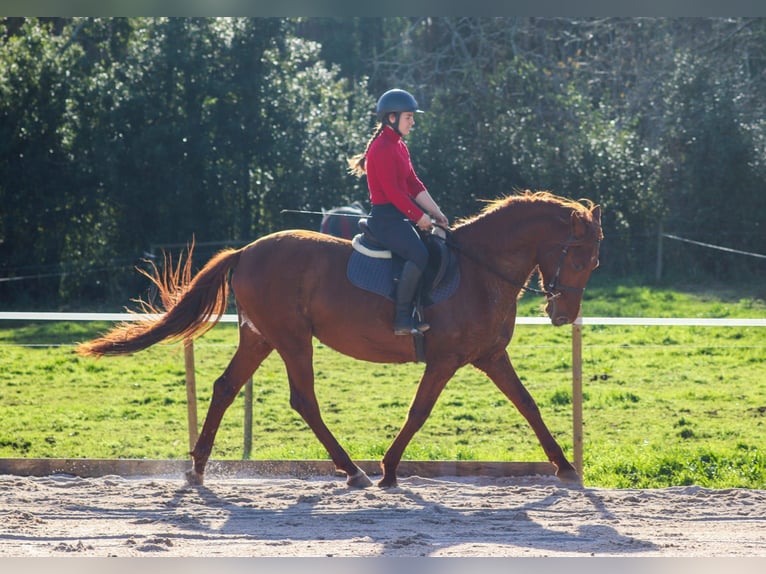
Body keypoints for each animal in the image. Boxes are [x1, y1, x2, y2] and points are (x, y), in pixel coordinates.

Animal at [78, 191, 608, 488]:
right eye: (583, 258)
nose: (562, 315)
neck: (481, 271)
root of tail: (246, 251)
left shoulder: (491, 356)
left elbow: (529, 406)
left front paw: (566, 468)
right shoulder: (445, 360)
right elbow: (419, 412)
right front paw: (389, 470)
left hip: (260, 338)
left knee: (226, 388)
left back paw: (198, 469)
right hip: (292, 339)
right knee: (303, 399)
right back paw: (353, 470)